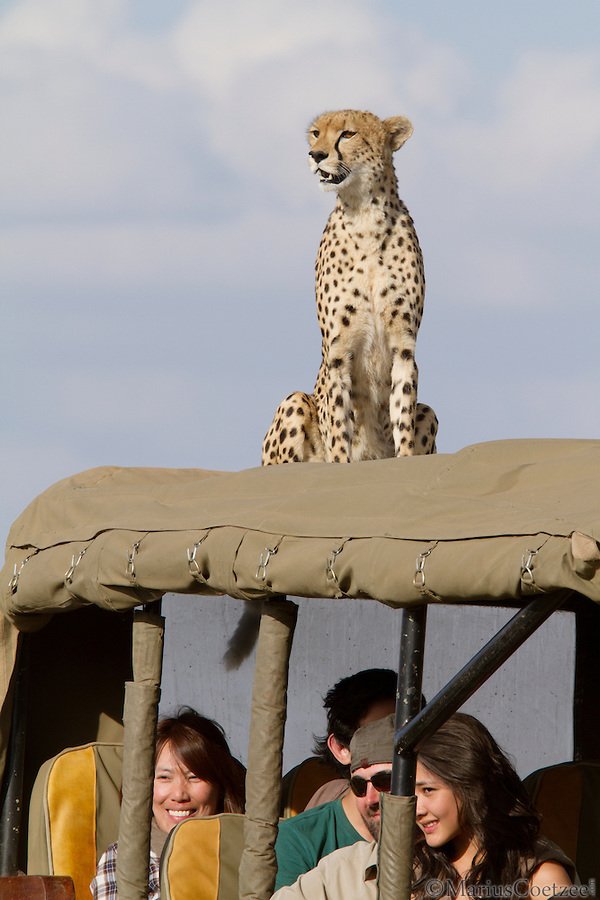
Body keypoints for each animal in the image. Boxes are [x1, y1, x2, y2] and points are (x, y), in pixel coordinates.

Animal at [262, 109, 436, 468]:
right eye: (316, 133)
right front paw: (341, 465)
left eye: (348, 134)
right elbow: (340, 422)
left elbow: (403, 413)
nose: (316, 155)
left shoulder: (404, 345)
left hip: (430, 411)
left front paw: (405, 459)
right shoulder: (339, 351)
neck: (365, 214)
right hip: (293, 402)